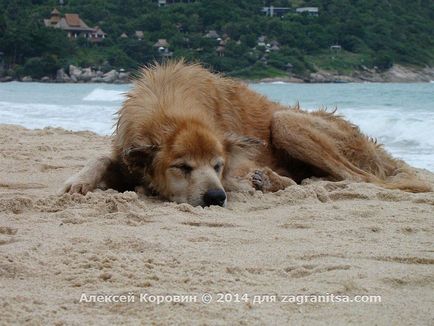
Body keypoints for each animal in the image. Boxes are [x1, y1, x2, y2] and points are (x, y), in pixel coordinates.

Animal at [61, 60, 430, 206]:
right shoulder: (127, 150)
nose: (215, 197)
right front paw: (79, 181)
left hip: (285, 121)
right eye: (182, 167)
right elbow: (101, 157)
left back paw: (272, 180)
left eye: (217, 165)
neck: (168, 105)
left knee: (357, 179)